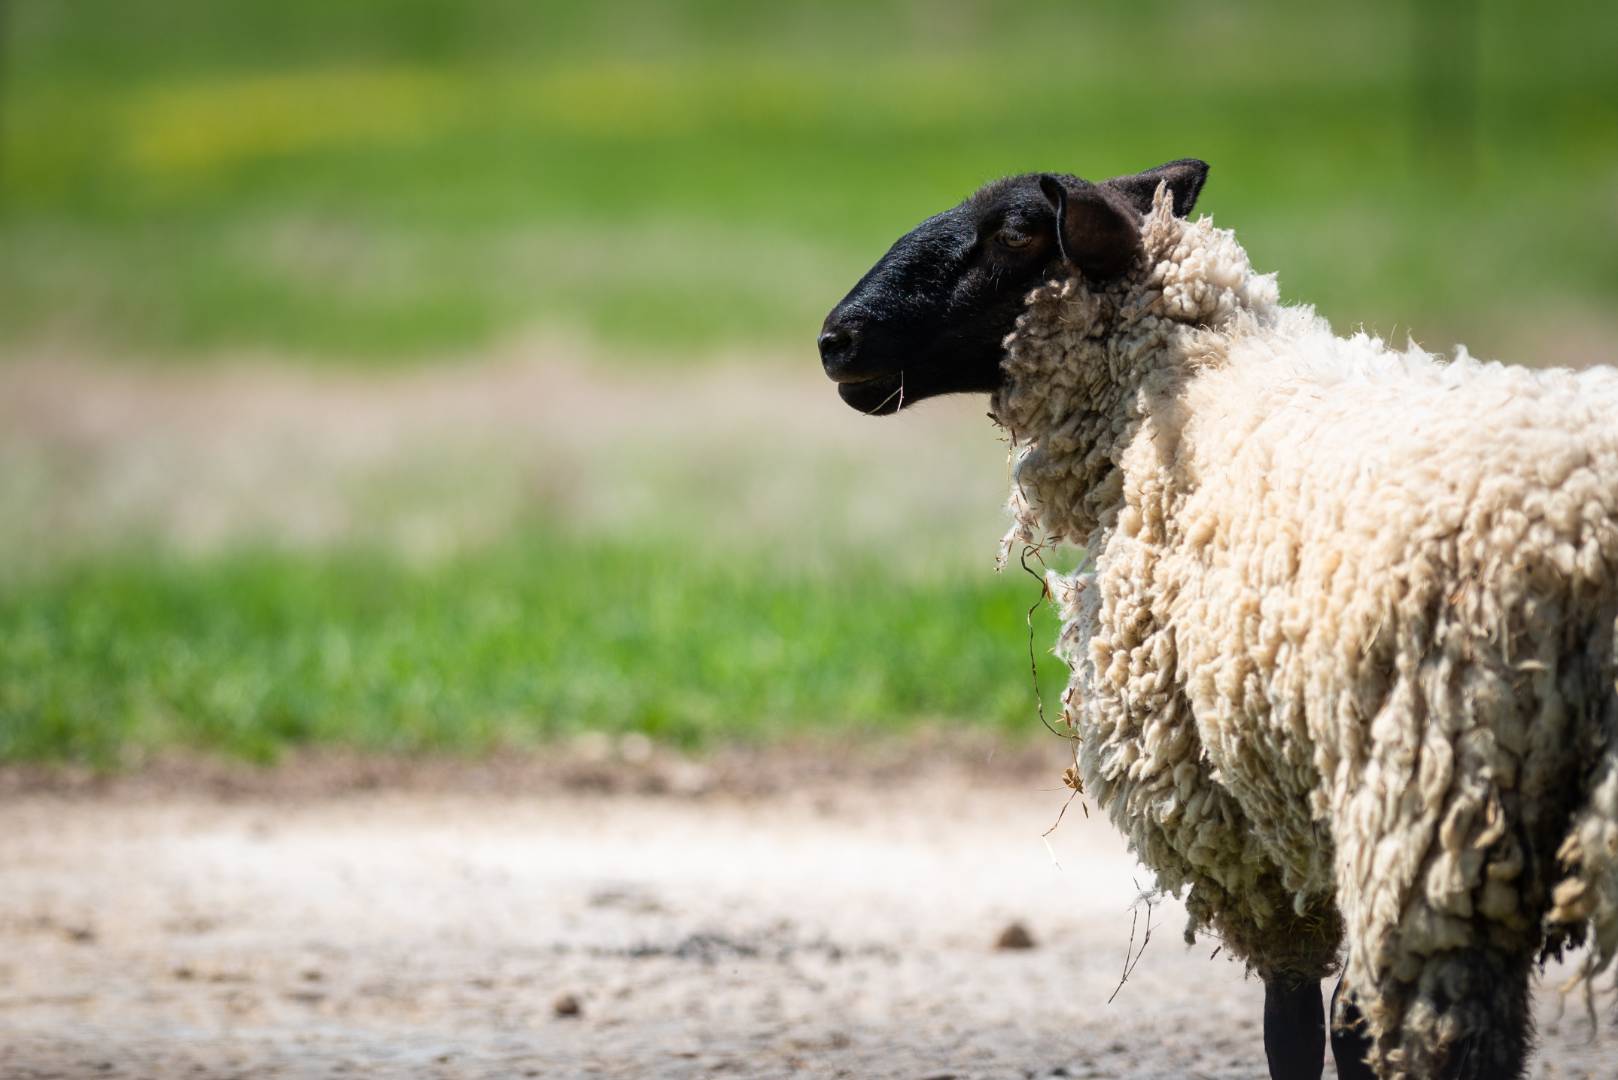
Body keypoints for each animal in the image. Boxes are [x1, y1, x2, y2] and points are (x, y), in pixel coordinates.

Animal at [817, 159, 1618, 1080]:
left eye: (1016, 231)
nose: (836, 339)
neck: (1186, 379)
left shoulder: (1254, 825)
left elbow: (1302, 1022)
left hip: (1441, 806)